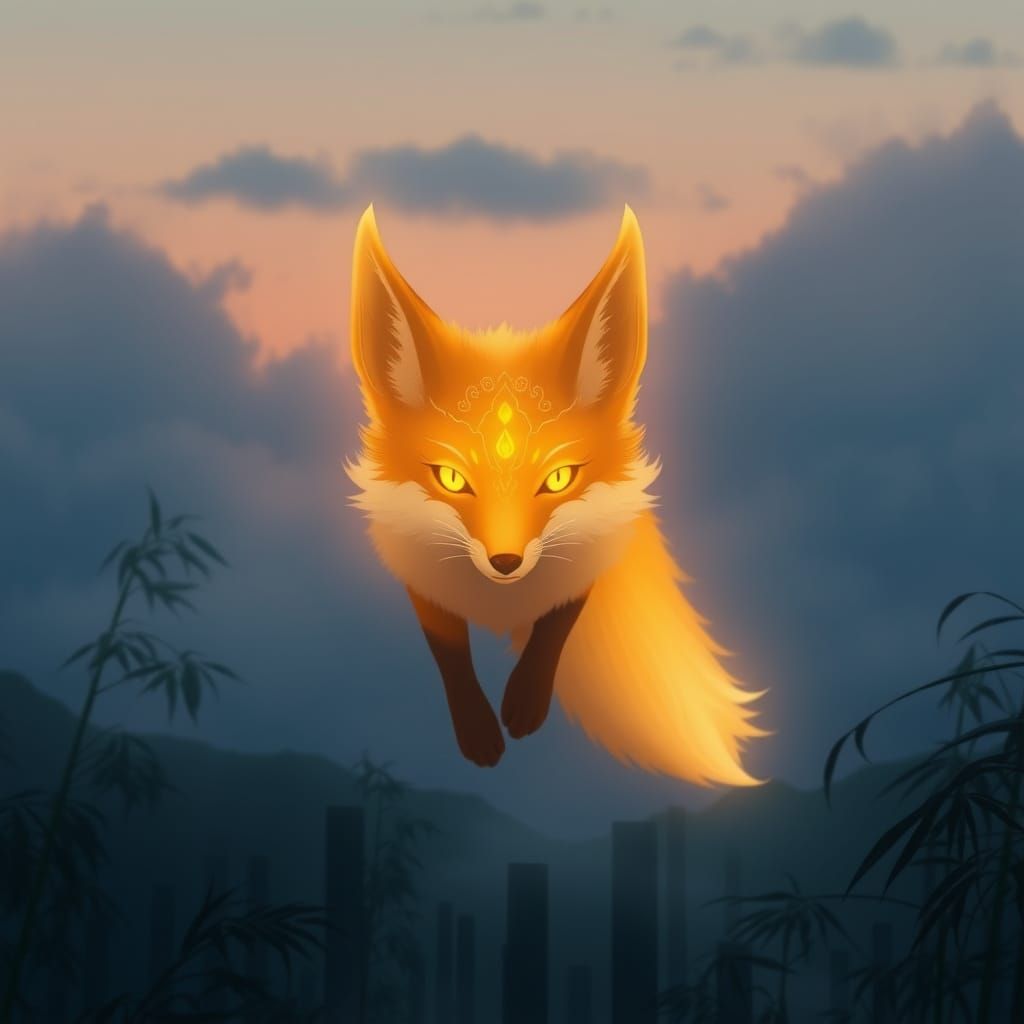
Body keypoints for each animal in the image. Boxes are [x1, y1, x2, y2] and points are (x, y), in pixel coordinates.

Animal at [345, 203, 767, 785]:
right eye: (451, 479)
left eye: (560, 479)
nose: (505, 561)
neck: (501, 601)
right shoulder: (419, 572)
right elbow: (449, 652)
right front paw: (477, 730)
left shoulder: (593, 551)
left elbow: (557, 624)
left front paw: (525, 701)